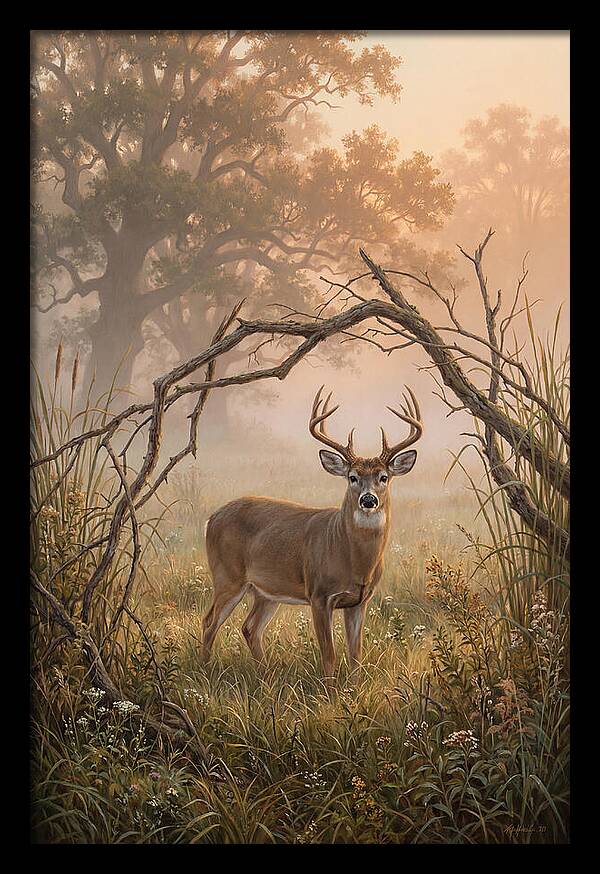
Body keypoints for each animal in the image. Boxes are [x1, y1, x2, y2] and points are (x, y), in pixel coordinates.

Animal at [202, 385, 423, 689]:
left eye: (384, 477)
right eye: (352, 477)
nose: (368, 500)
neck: (354, 561)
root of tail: (212, 518)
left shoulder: (360, 601)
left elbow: (355, 654)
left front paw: (354, 691)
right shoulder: (319, 594)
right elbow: (328, 654)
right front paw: (330, 694)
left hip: (266, 590)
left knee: (250, 627)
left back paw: (266, 679)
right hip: (228, 577)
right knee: (209, 622)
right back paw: (203, 673)